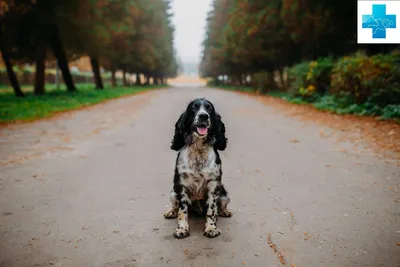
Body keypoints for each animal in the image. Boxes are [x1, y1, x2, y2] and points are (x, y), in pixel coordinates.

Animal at [162, 97, 231, 240]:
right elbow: (182, 211)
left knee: (221, 206)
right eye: (193, 107)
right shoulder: (181, 185)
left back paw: (225, 211)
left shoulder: (214, 185)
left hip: (224, 195)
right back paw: (170, 211)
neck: (198, 149)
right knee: (175, 206)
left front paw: (211, 228)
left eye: (209, 108)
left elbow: (211, 210)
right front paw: (182, 229)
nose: (203, 116)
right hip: (173, 193)